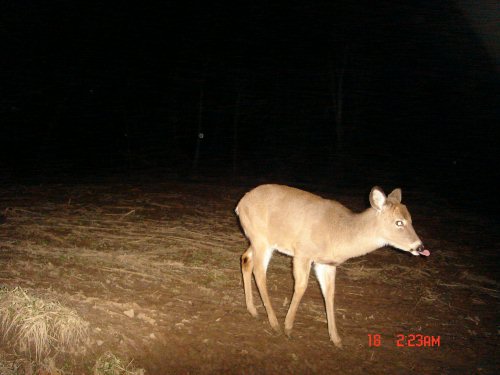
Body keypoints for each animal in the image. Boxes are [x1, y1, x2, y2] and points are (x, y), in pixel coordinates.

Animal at [235, 185, 430, 350]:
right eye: (399, 222)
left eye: (411, 220)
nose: (420, 247)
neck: (338, 233)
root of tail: (241, 204)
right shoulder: (303, 253)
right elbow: (301, 287)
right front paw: (288, 328)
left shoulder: (326, 264)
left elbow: (329, 294)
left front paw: (336, 339)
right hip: (261, 238)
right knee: (259, 272)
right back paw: (274, 323)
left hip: (257, 240)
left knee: (245, 259)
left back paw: (253, 310)